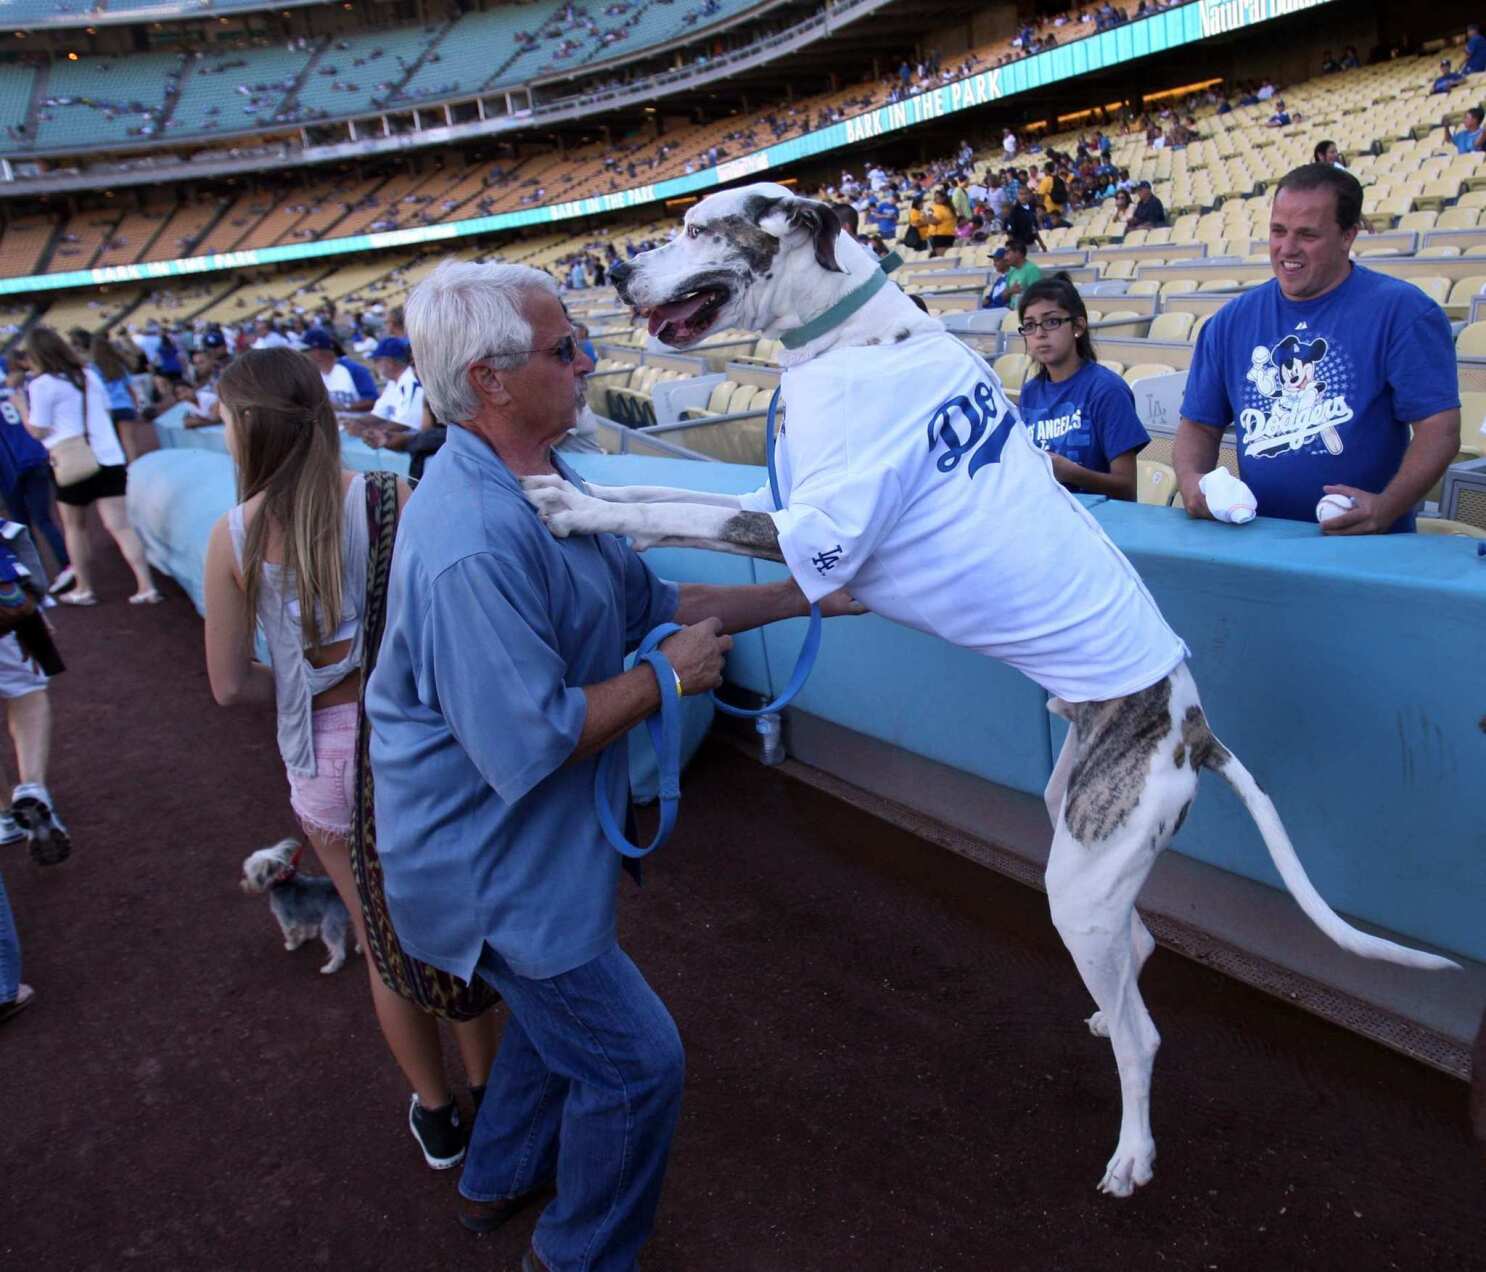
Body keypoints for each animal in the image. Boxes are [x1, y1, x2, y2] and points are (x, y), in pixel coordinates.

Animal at [245, 832, 361, 974]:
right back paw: (360, 948)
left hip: (330, 923)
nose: (244, 883)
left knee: (338, 951)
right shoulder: (304, 915)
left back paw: (330, 968)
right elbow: (306, 928)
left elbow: (290, 933)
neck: (282, 881)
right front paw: (306, 937)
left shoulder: (286, 919)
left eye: (247, 875)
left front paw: (292, 945)